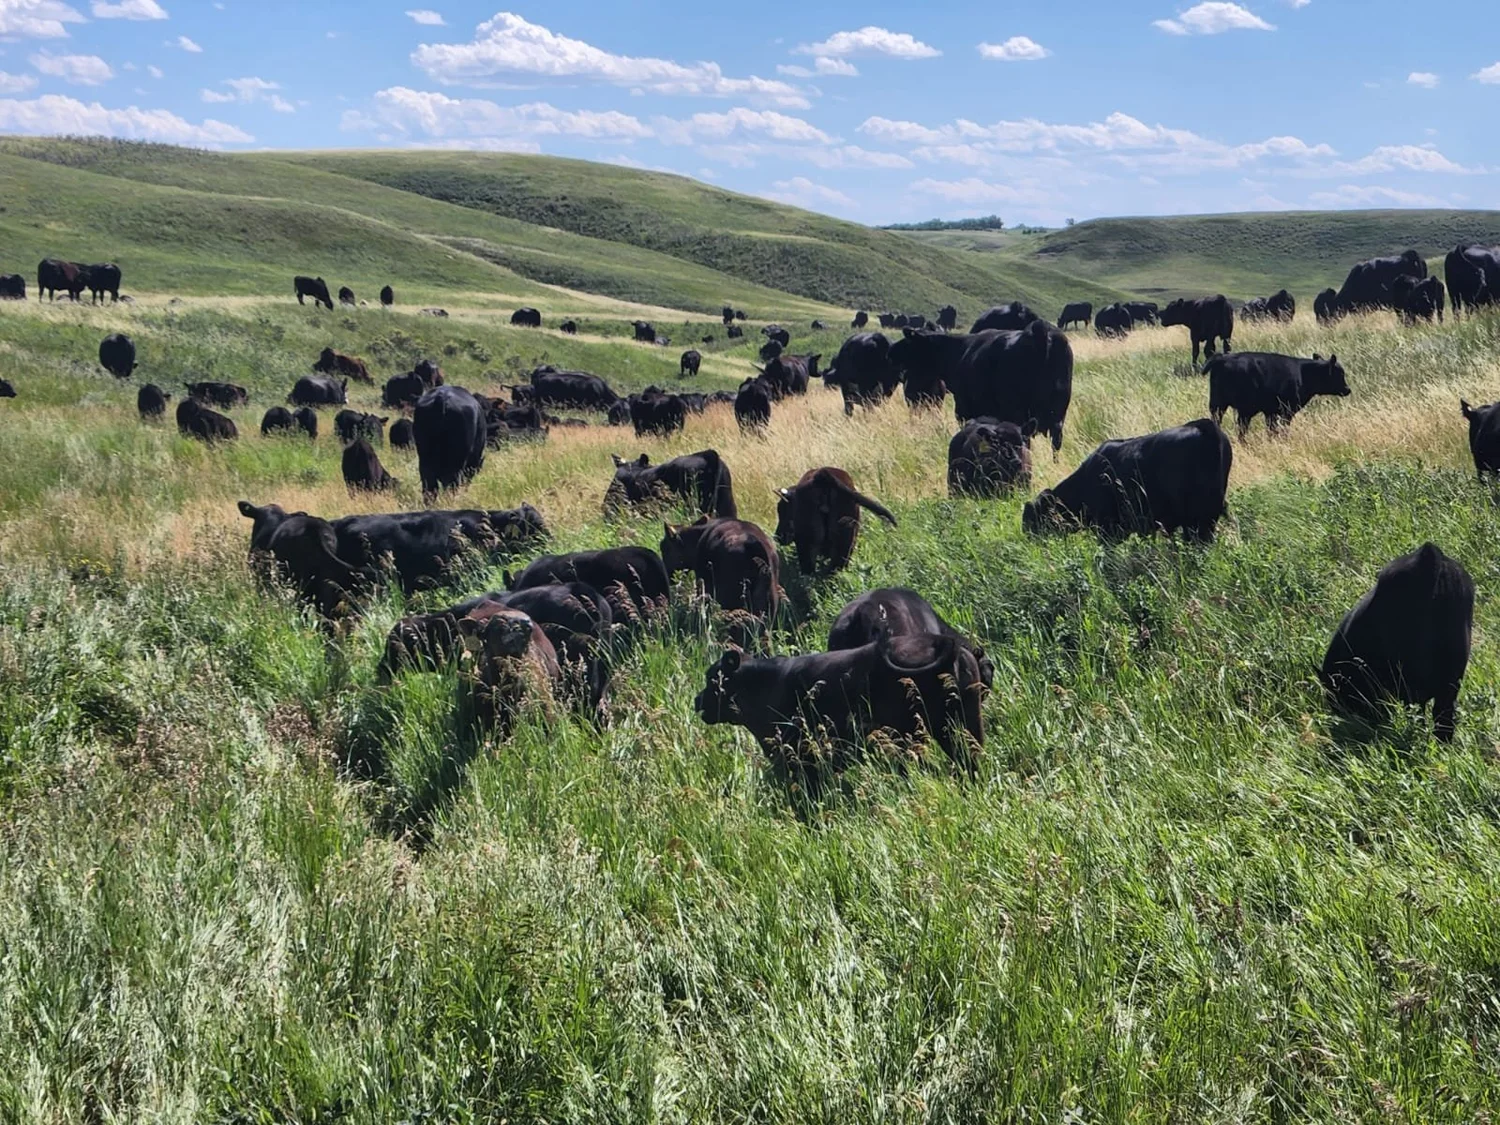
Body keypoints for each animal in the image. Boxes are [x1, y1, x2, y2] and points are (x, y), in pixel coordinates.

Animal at [887, 322, 1074, 452]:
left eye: (908, 340)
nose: (890, 351)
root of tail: (1040, 330)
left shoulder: (964, 409)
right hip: (1059, 415)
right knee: (1056, 444)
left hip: (1018, 412)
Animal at [1206, 352, 1350, 440]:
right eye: (1340, 374)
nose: (1347, 389)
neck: (1303, 374)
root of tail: (1223, 358)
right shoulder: (1287, 411)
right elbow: (1282, 428)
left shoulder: (1270, 412)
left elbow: (1272, 430)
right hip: (1243, 408)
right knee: (1242, 428)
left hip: (1218, 405)